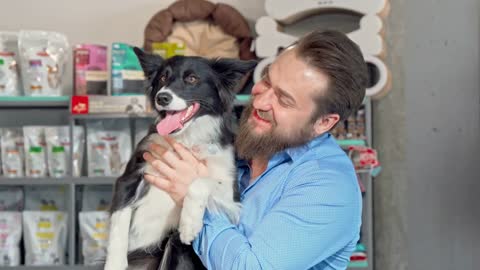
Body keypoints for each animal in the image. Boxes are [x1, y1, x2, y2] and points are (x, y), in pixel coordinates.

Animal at [103, 48, 256, 270]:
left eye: (192, 79)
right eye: (162, 78)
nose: (162, 98)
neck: (185, 138)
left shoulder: (231, 198)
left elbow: (202, 180)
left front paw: (190, 223)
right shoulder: (129, 177)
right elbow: (119, 220)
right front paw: (114, 262)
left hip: (173, 244)